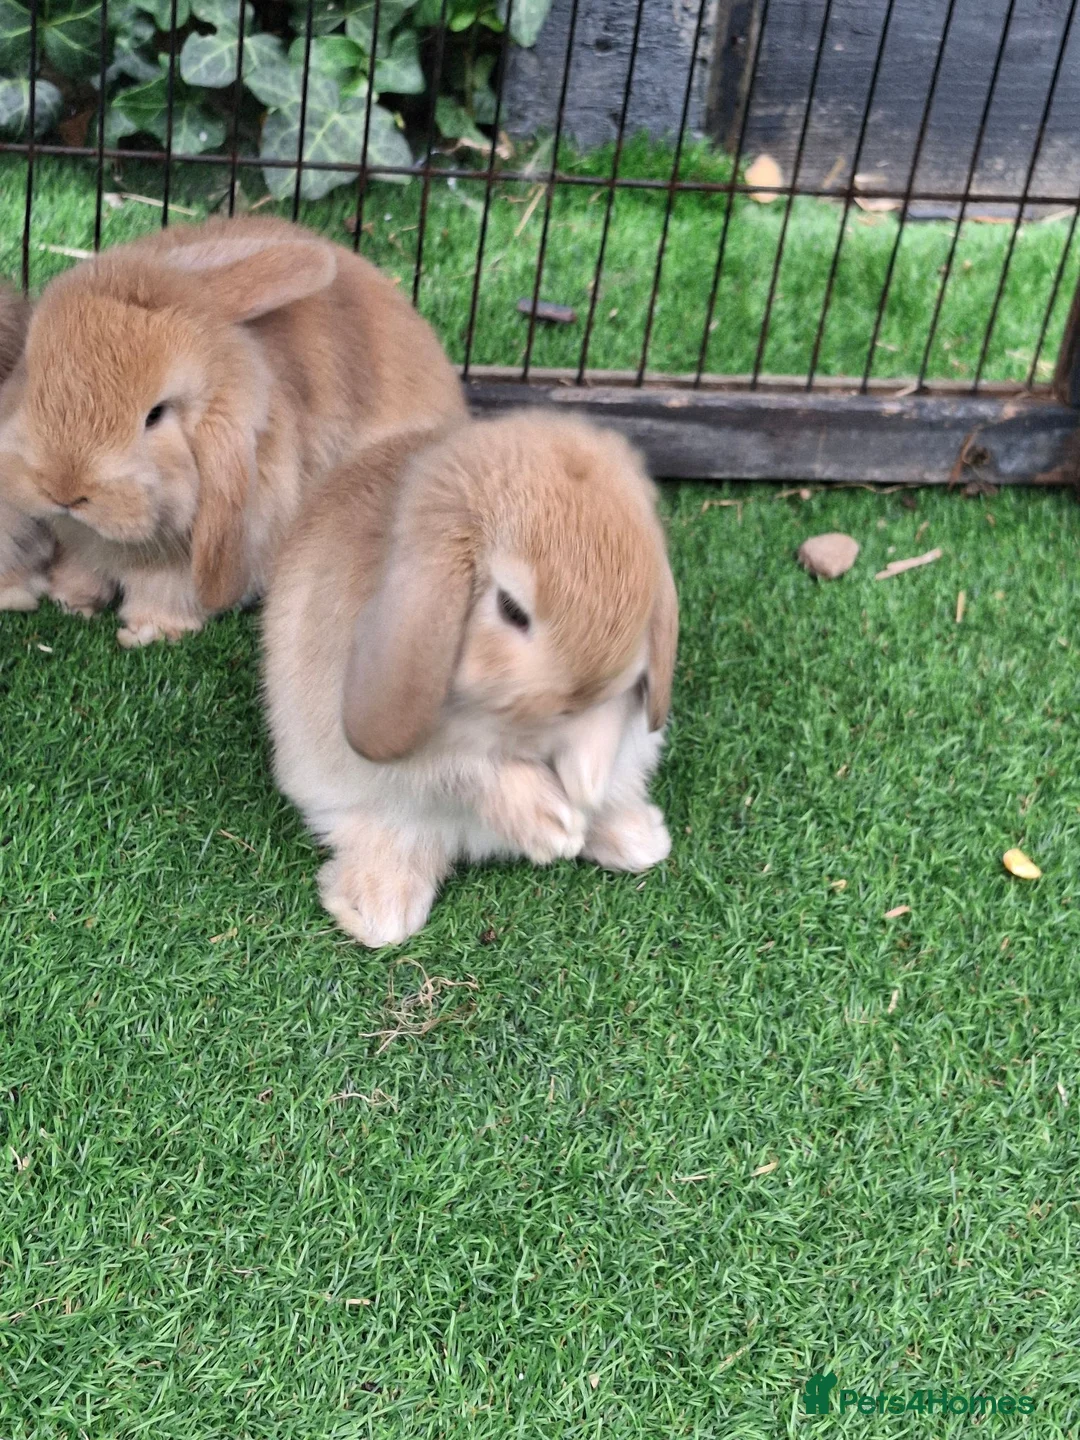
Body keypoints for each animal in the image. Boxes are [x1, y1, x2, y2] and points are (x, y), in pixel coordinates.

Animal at [0, 215, 466, 647]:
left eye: (155, 415)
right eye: (30, 369)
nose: (63, 489)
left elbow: (166, 594)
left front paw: (148, 632)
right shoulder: (79, 544)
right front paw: (71, 602)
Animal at [262, 411, 679, 948]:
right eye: (511, 609)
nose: (576, 693)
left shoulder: (618, 698)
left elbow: (602, 727)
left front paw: (585, 785)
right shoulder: (428, 756)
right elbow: (470, 771)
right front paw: (552, 825)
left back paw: (636, 836)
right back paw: (379, 910)